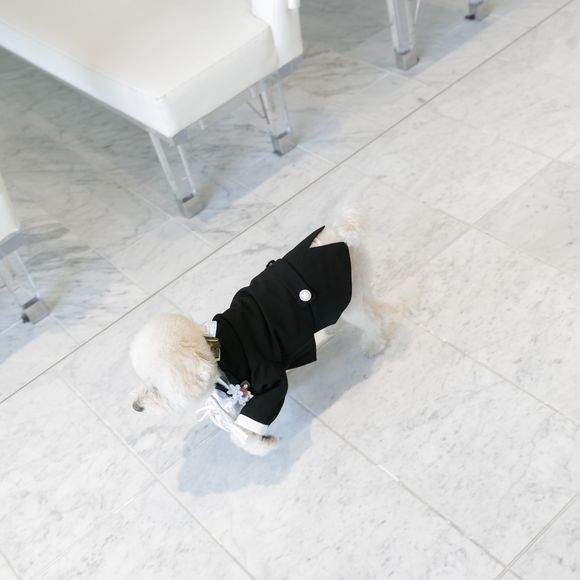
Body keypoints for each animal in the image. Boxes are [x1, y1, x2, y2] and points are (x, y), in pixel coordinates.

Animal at [130, 209, 389, 455]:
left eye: (156, 389)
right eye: (142, 380)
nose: (136, 407)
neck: (216, 347)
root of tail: (340, 232)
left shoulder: (268, 381)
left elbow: (245, 430)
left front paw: (264, 444)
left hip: (348, 299)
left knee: (370, 318)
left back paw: (374, 343)